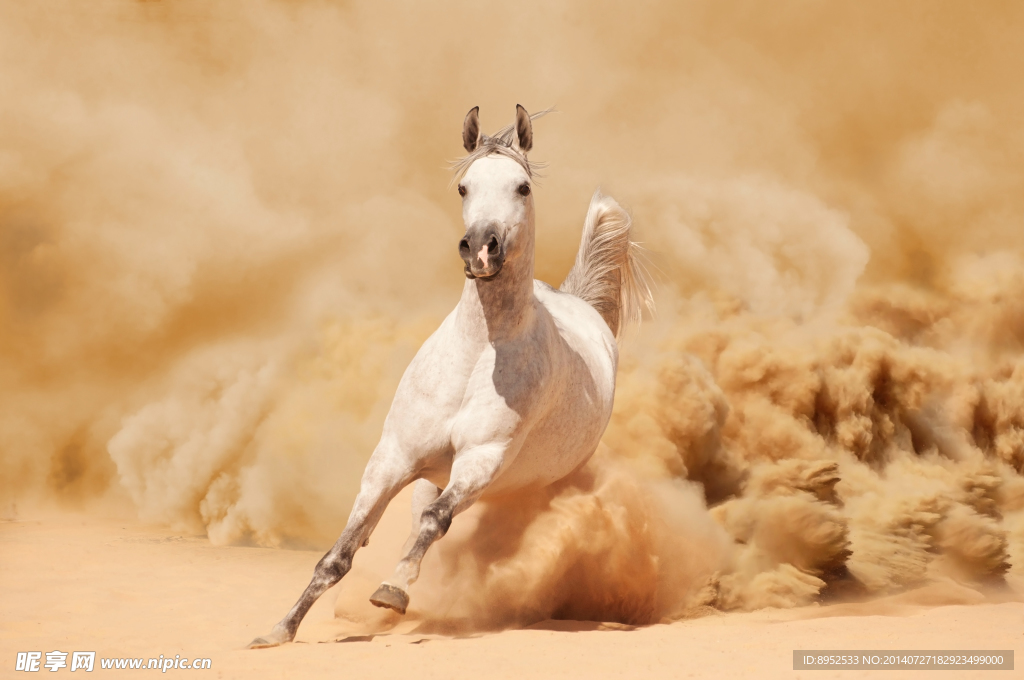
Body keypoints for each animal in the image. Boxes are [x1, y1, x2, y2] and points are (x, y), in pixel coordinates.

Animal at [249, 105, 651, 648]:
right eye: (464, 187)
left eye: (522, 187)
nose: (481, 248)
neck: (477, 357)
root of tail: (581, 304)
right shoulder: (393, 458)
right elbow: (341, 552)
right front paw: (279, 631)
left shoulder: (481, 460)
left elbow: (435, 522)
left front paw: (392, 590)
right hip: (430, 473)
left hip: (533, 482)